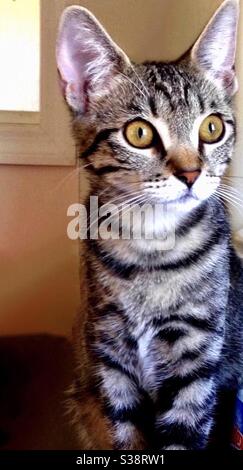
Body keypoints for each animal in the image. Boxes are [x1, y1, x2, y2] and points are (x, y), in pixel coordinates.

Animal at [56, 0, 243, 448]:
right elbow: (124, 433)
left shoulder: (195, 357)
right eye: (139, 133)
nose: (192, 173)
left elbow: (183, 429)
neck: (150, 246)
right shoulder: (109, 354)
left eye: (212, 127)